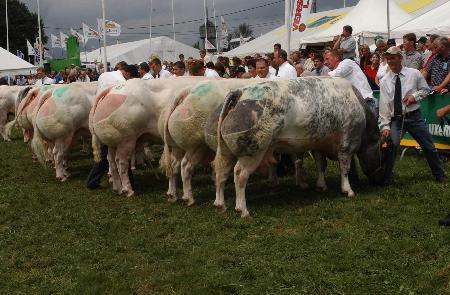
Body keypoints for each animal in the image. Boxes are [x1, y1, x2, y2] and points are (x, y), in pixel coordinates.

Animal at [213, 77, 384, 219]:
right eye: (382, 151)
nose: (380, 181)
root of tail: (240, 92)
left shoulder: (318, 144)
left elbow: (320, 165)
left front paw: (321, 185)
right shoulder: (347, 143)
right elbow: (345, 168)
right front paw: (348, 190)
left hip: (226, 150)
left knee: (221, 172)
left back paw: (220, 203)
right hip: (253, 151)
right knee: (239, 174)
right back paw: (242, 209)